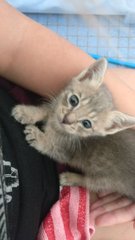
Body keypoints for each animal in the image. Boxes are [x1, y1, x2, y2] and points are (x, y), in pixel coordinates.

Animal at [11, 59, 135, 200]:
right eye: (73, 100)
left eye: (86, 124)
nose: (67, 119)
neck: (56, 127)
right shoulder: (56, 111)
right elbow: (48, 110)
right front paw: (27, 112)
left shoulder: (65, 152)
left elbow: (49, 146)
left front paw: (38, 137)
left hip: (105, 180)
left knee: (89, 182)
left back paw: (70, 178)